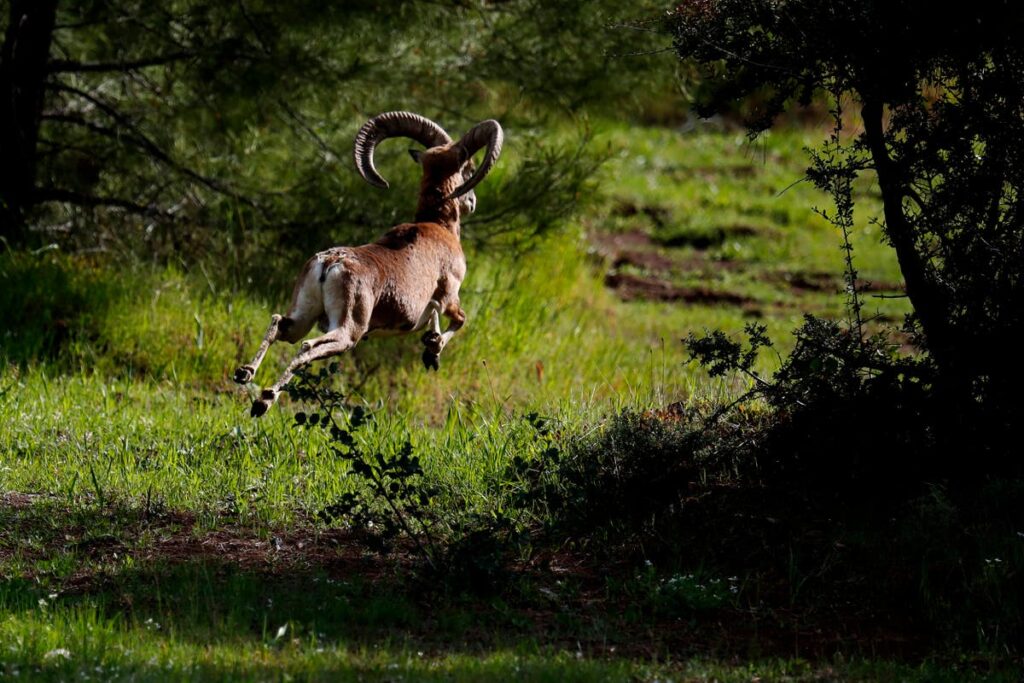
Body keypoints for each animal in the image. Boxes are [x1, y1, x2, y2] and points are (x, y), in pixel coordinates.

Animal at [233, 112, 503, 417]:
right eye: (469, 168)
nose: (472, 202)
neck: (437, 226)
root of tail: (330, 263)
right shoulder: (449, 296)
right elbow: (458, 319)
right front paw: (432, 351)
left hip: (303, 316)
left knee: (280, 324)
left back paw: (245, 373)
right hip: (348, 331)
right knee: (306, 346)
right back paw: (264, 400)